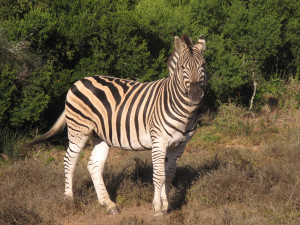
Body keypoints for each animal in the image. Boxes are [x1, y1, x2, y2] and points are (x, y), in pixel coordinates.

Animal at [28, 34, 206, 217]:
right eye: (183, 67)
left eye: (203, 65)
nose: (195, 95)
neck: (183, 111)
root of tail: (79, 81)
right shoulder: (159, 141)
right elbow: (159, 175)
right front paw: (157, 209)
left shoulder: (179, 145)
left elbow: (169, 175)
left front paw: (166, 206)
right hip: (78, 130)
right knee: (69, 161)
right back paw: (69, 200)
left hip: (100, 136)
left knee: (94, 165)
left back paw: (109, 204)